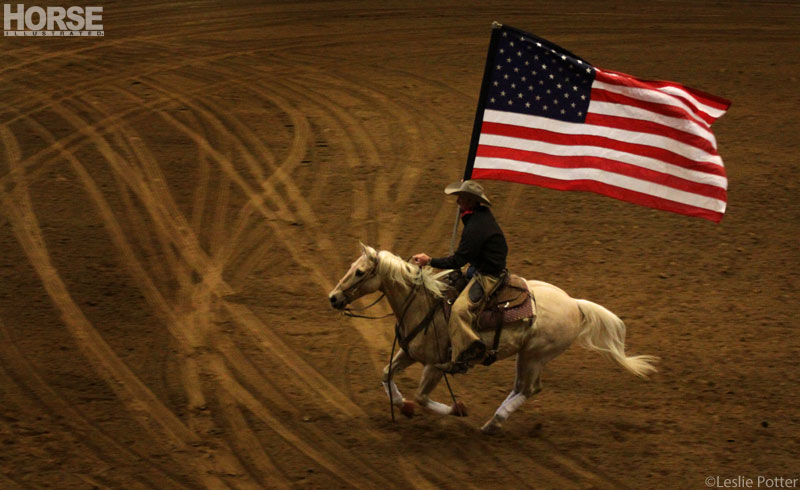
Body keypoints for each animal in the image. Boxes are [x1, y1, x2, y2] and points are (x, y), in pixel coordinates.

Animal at [326, 244, 656, 432]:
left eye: (360, 272)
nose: (333, 298)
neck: (422, 302)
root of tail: (575, 304)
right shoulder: (409, 352)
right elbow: (385, 373)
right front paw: (401, 405)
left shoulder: (436, 365)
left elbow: (422, 396)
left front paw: (456, 409)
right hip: (526, 356)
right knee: (522, 388)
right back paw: (493, 421)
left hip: (535, 355)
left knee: (530, 389)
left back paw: (493, 424)